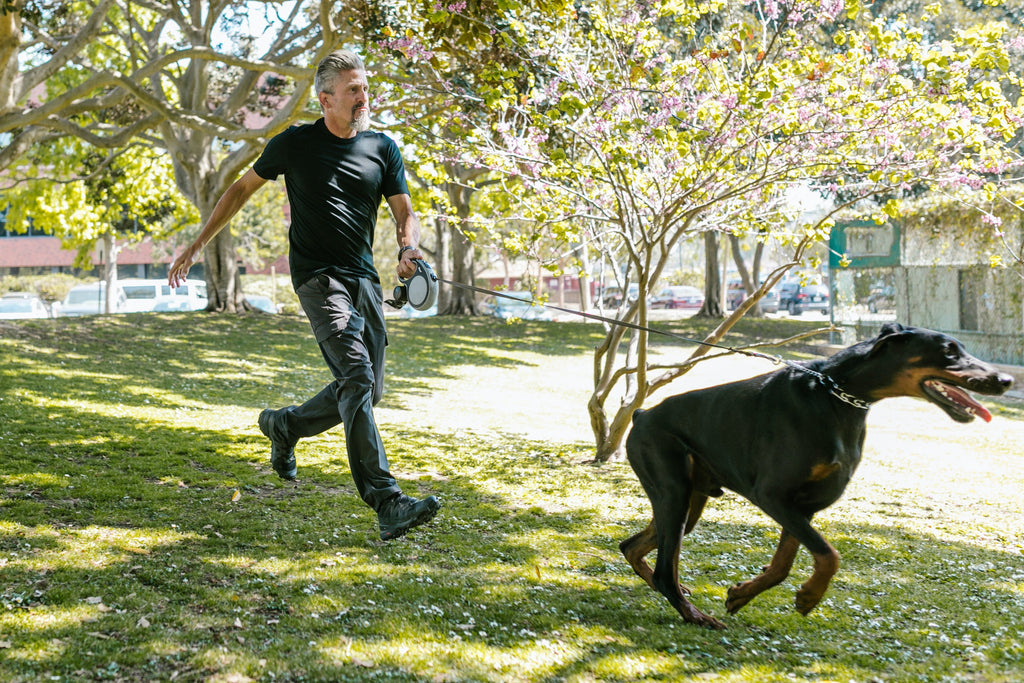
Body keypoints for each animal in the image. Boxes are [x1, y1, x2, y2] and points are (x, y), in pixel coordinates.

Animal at [618, 323, 1011, 626]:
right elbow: (829, 555)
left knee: (633, 547)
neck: (836, 396)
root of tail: (642, 414)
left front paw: (743, 594)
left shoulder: (802, 506)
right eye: (948, 351)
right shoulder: (773, 495)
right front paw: (809, 596)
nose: (1005, 380)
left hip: (689, 502)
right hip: (673, 490)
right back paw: (694, 614)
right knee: (664, 569)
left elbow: (785, 563)